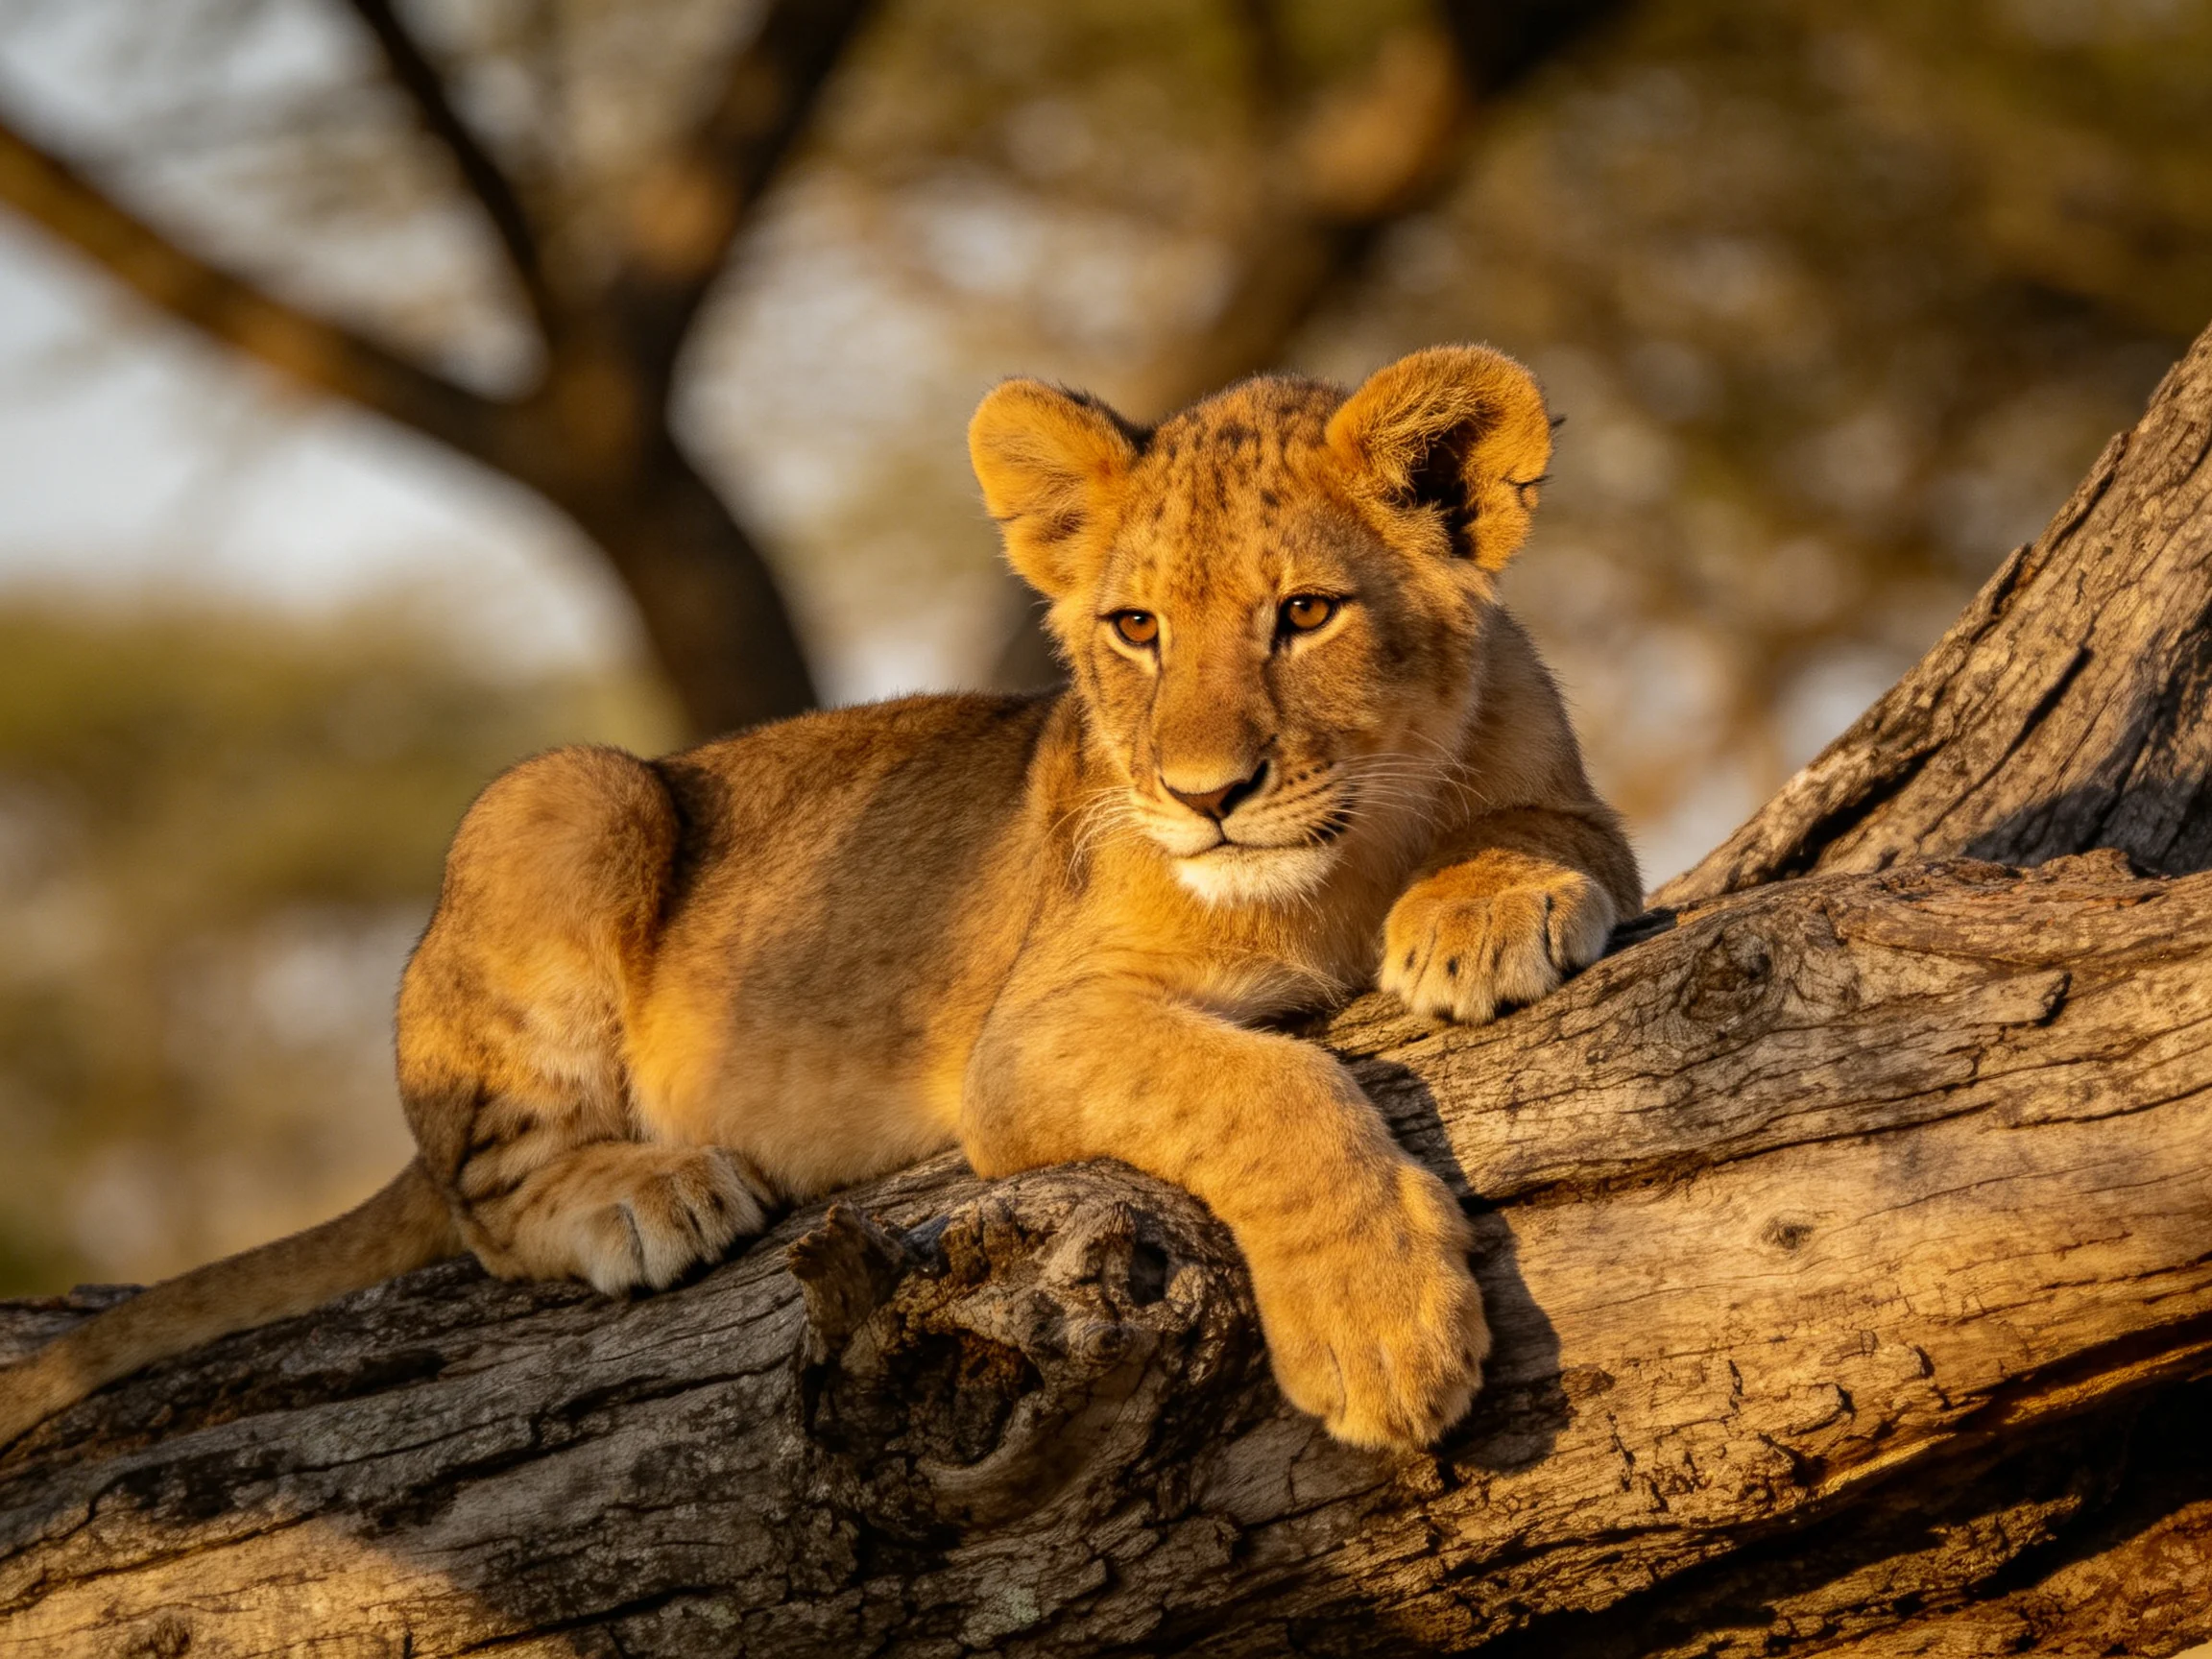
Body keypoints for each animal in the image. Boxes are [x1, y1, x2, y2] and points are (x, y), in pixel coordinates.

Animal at [0, 345, 1637, 1454]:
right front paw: (1383, 1334)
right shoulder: (1034, 1034)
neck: (1348, 848)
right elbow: (1268, 1091)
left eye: (1305, 614)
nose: (1203, 794)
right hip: (568, 794)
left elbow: (1557, 834)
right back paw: (648, 1193)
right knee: (483, 1200)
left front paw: (1482, 911)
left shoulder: (1564, 785)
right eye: (1135, 629)